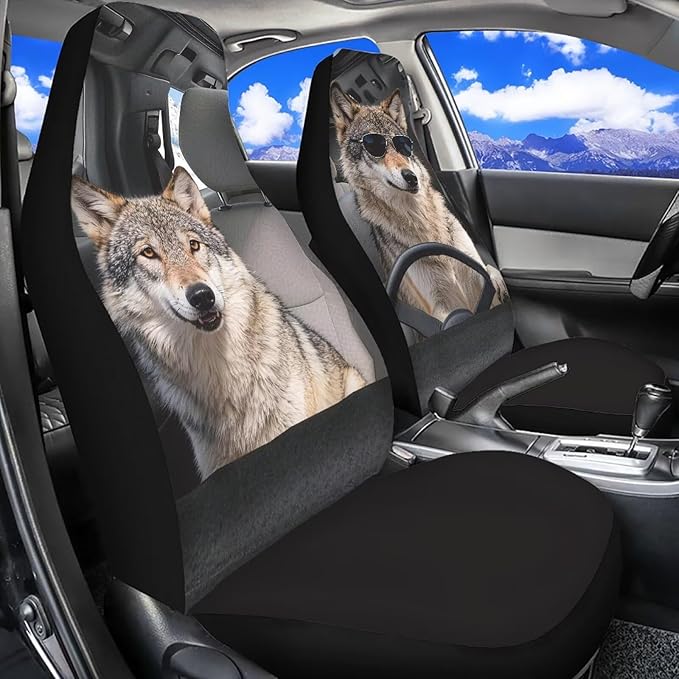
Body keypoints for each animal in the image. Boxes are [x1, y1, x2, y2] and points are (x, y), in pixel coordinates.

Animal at [330, 84, 508, 322]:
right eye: (374, 146)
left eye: (403, 144)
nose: (411, 177)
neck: (419, 216)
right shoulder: (439, 307)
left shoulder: (479, 279)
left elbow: (491, 277)